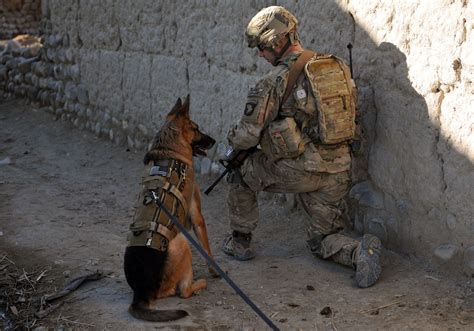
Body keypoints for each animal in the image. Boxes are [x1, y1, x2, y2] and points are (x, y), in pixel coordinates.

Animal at [123, 95, 218, 322]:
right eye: (196, 128)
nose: (214, 141)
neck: (169, 149)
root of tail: (141, 293)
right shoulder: (196, 215)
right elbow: (207, 248)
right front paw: (216, 272)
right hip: (182, 241)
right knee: (183, 292)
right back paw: (200, 283)